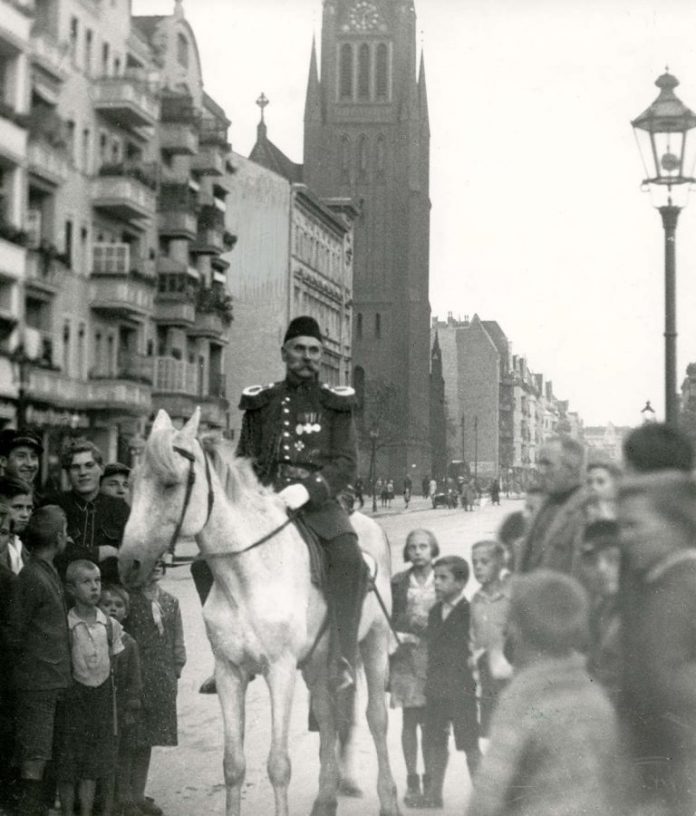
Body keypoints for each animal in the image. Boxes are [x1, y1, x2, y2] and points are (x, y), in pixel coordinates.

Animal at [120, 412, 402, 816]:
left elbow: (279, 765)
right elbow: (233, 764)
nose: (127, 564)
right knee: (329, 717)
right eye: (131, 484)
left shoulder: (280, 670)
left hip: (374, 643)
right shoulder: (229, 673)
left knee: (375, 718)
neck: (248, 572)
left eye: (170, 484)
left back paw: (388, 797)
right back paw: (326, 798)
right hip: (318, 661)